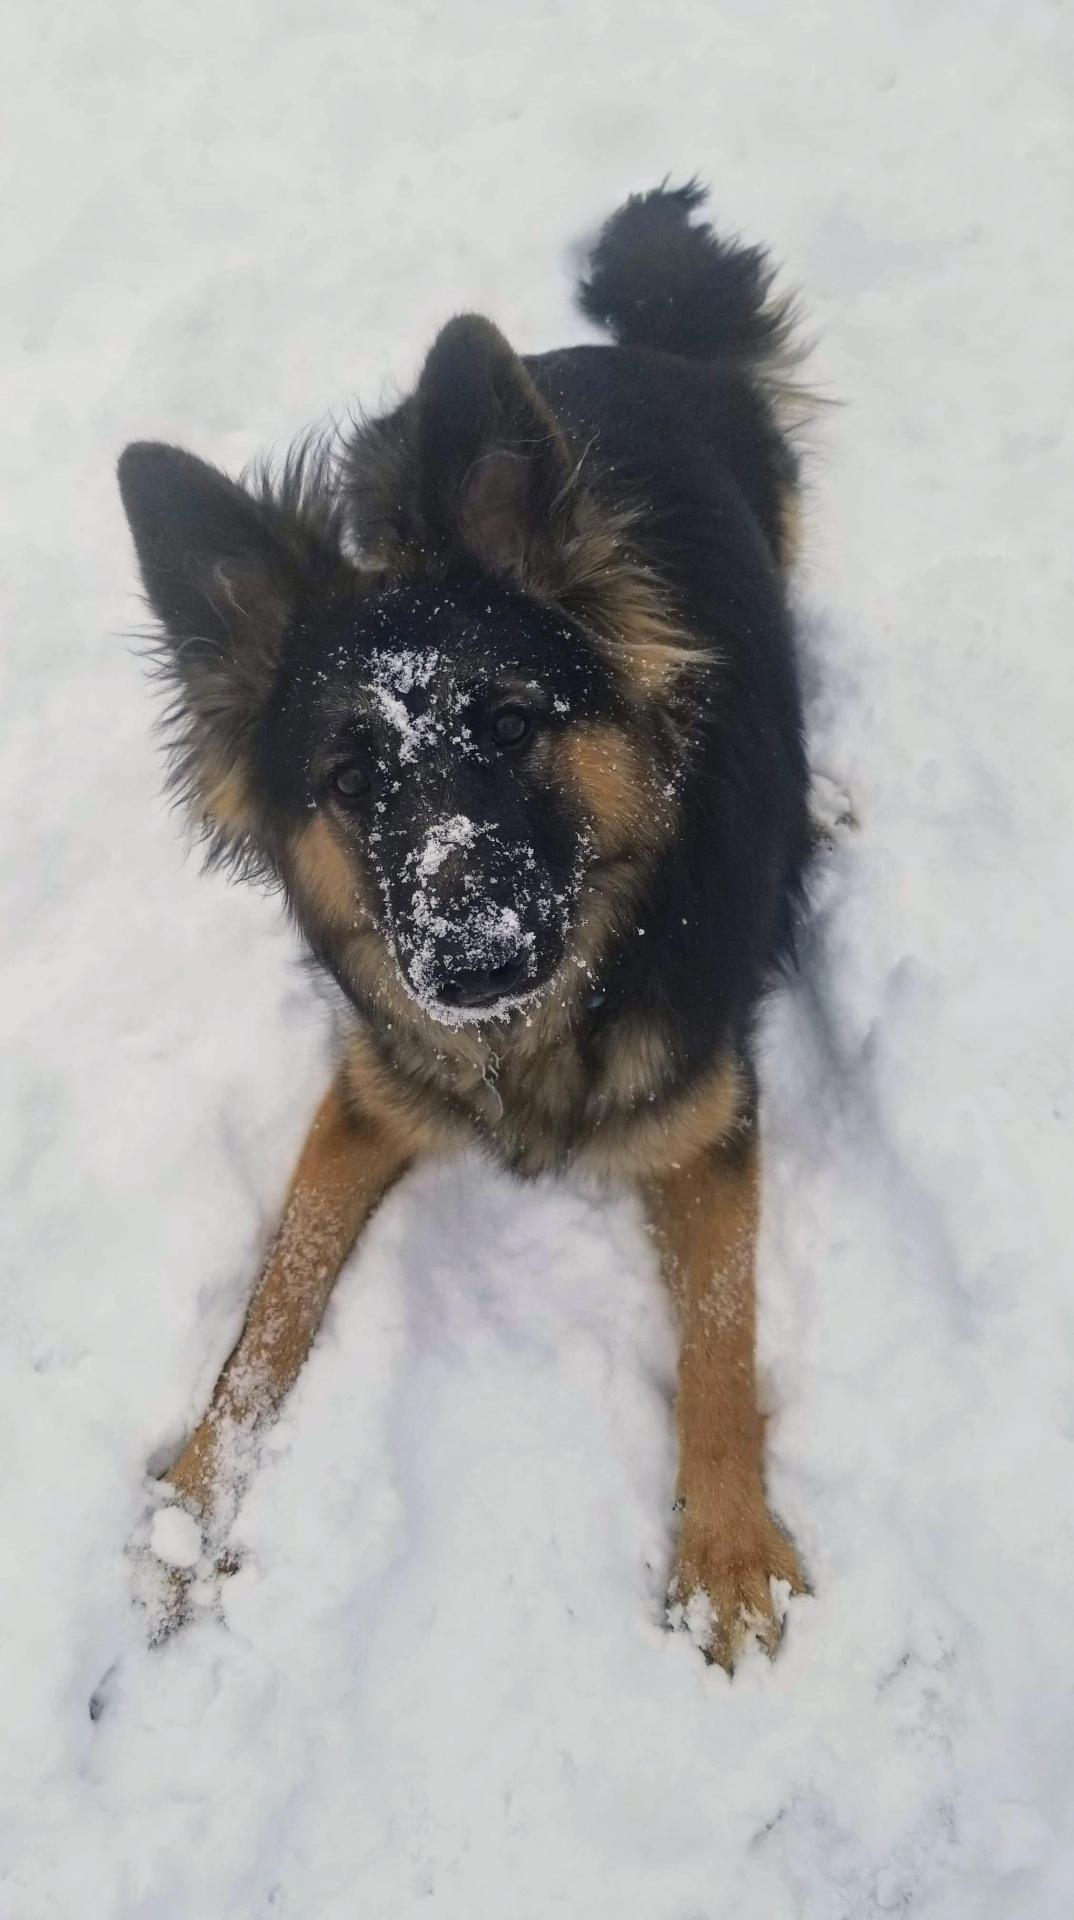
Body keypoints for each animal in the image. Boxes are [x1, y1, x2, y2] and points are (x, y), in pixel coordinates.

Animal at [117, 187, 810, 1674]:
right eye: (350, 778)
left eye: (504, 723)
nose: (472, 960)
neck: (537, 1033)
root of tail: (613, 353)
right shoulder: (372, 1093)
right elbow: (268, 1310)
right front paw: (190, 1513)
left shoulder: (707, 1117)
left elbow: (722, 1337)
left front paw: (728, 1554)